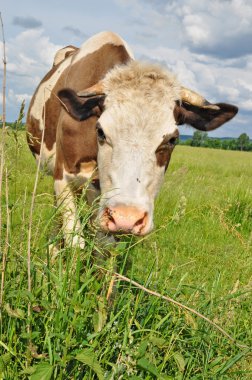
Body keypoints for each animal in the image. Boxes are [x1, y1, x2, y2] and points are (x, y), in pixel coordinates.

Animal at [26, 31, 239, 248]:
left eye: (172, 140)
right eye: (100, 131)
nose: (126, 217)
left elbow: (104, 247)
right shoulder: (63, 177)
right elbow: (75, 241)